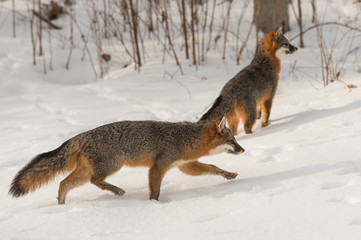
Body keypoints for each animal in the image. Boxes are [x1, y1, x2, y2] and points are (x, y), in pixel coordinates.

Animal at [8, 117, 243, 203]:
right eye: (232, 140)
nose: (243, 149)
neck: (184, 139)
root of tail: (82, 135)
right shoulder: (157, 167)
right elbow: (155, 191)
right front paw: (155, 205)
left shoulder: (186, 165)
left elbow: (213, 166)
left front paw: (228, 174)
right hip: (111, 166)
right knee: (94, 181)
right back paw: (117, 191)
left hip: (85, 172)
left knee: (63, 184)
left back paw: (61, 206)